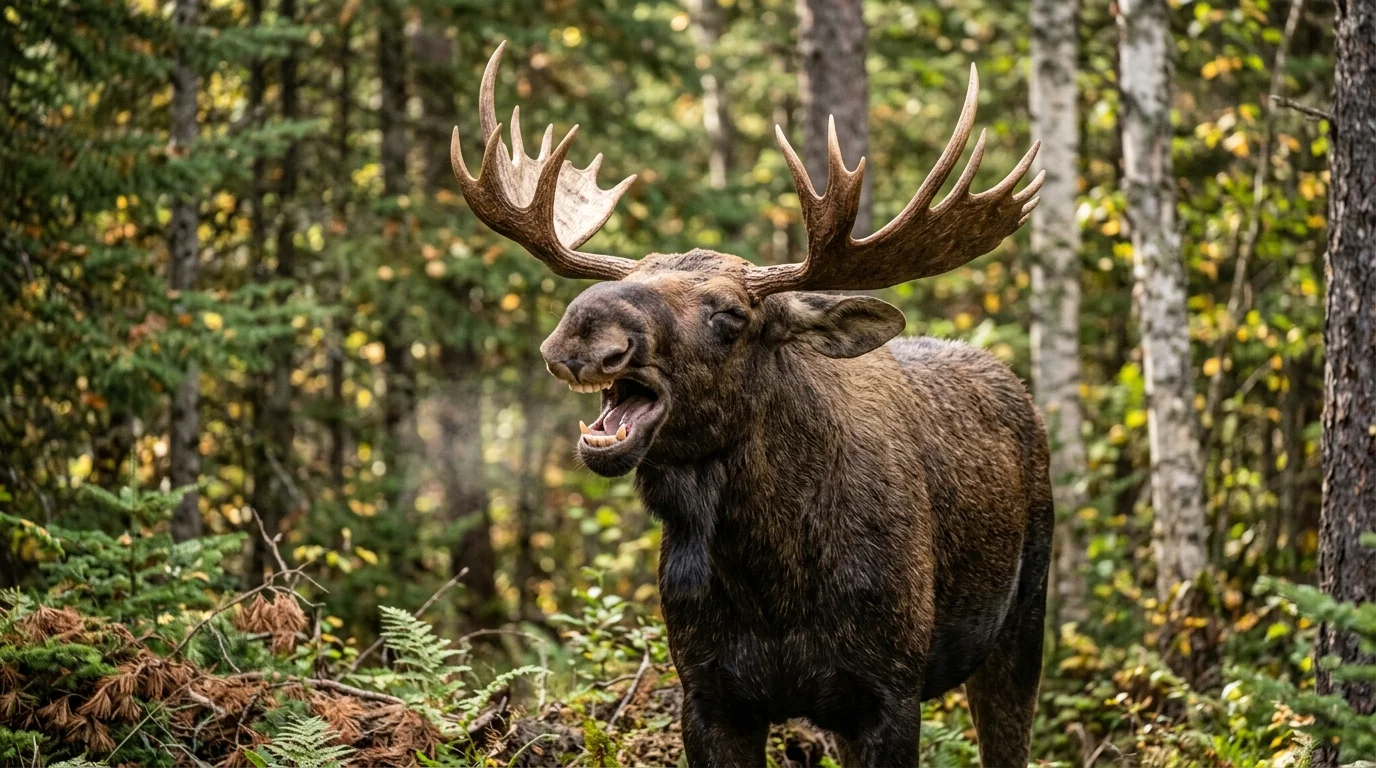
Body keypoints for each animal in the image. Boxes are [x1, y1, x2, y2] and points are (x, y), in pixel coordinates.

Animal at [451, 42, 1054, 767]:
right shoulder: (709, 693)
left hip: (1023, 619)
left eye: (731, 314)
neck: (768, 574)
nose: (585, 325)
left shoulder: (890, 692)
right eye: (630, 277)